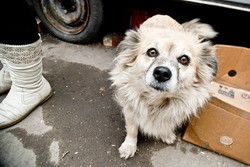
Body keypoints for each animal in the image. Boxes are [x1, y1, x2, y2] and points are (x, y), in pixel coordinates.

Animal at [109, 14, 217, 159]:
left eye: (184, 59)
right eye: (152, 52)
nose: (161, 73)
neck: (156, 100)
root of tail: (162, 15)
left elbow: (165, 124)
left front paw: (165, 135)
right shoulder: (130, 109)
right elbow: (132, 130)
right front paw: (129, 146)